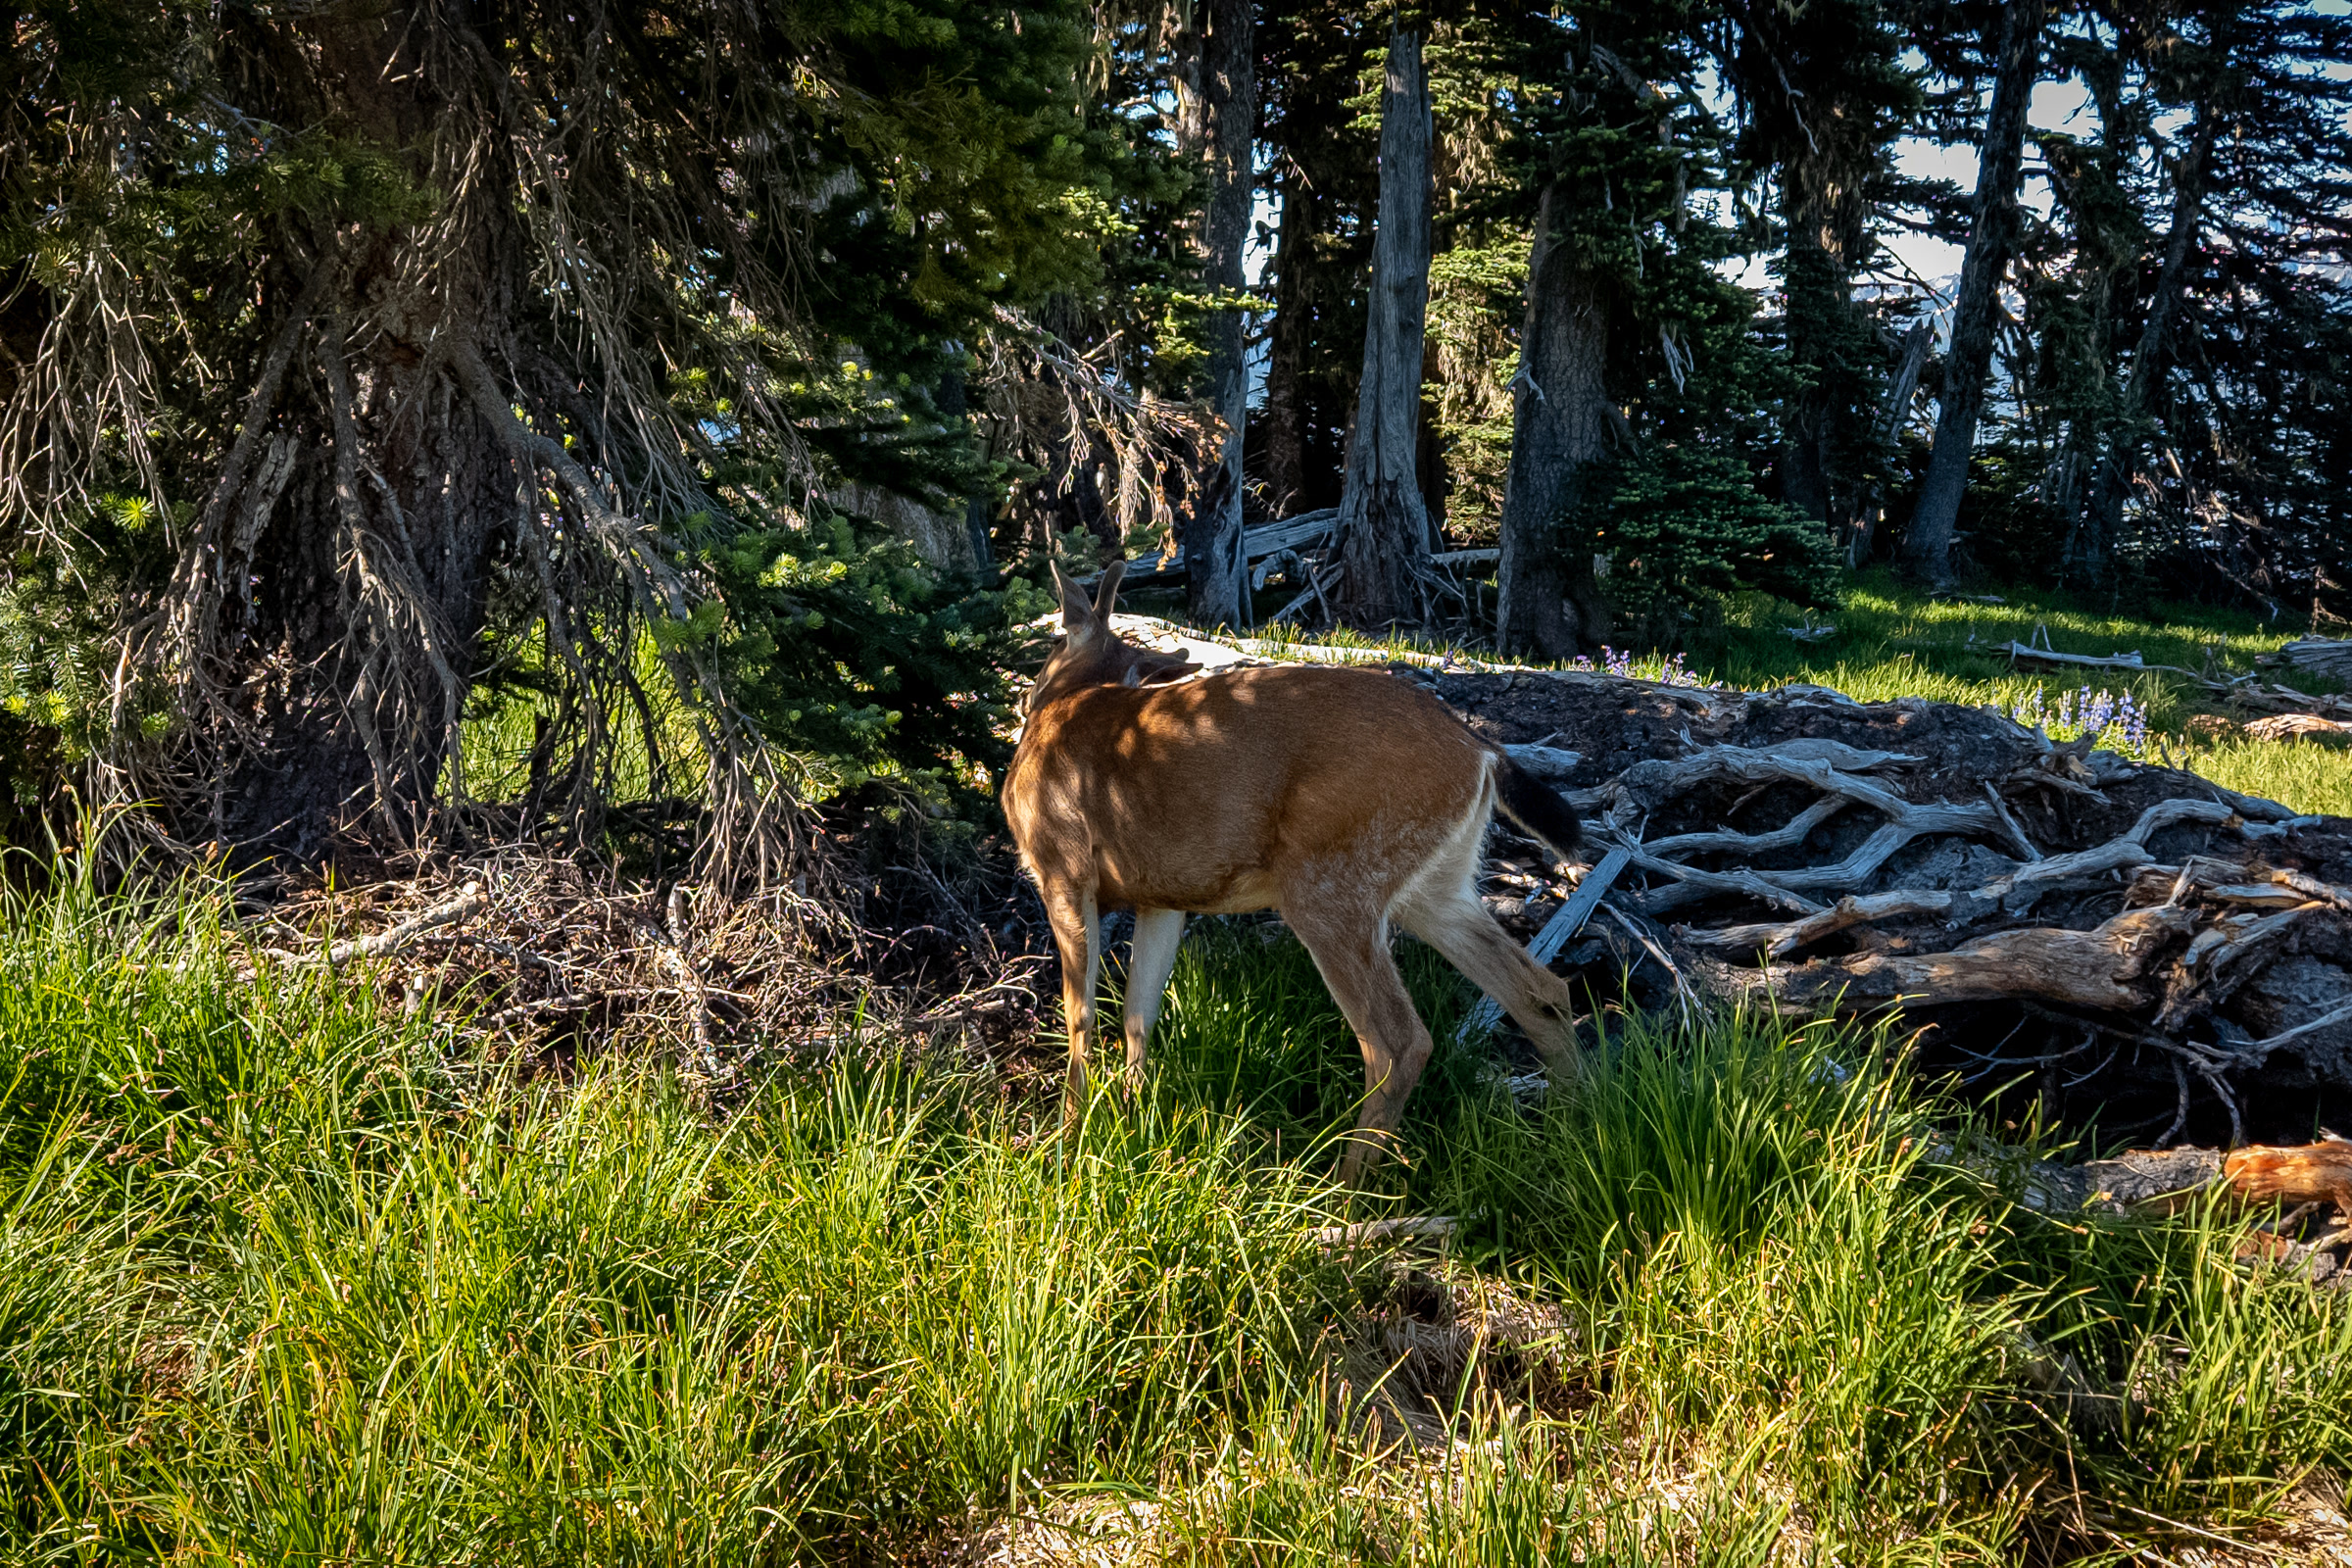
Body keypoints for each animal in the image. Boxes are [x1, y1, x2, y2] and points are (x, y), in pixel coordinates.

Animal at [1002, 560, 1589, 1183]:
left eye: (1057, 639)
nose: (1029, 683)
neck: (1071, 703)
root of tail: (1481, 750)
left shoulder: (1062, 867)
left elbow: (1081, 1015)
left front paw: (1068, 1142)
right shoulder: (1162, 893)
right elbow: (1141, 1013)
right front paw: (1131, 1124)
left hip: (1330, 880)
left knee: (1399, 1042)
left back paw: (1343, 1189)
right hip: (1437, 885)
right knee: (1541, 991)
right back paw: (1573, 1129)